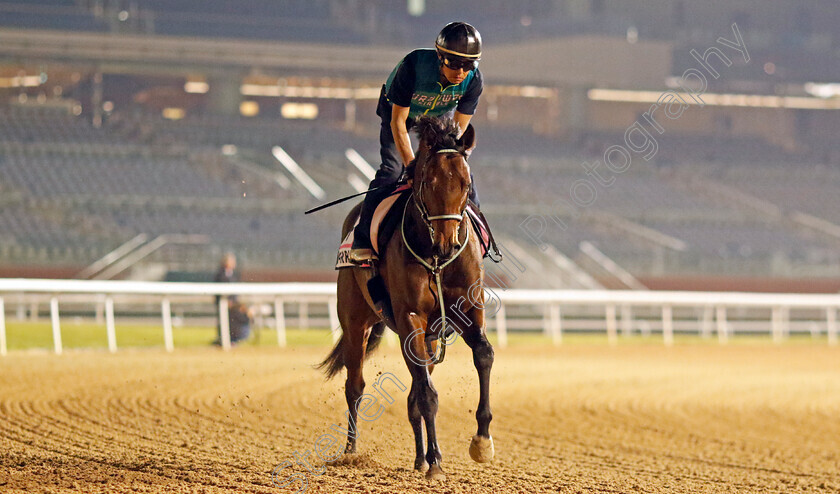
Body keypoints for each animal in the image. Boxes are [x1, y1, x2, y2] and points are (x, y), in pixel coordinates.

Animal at [320, 115, 492, 478]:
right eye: (427, 181)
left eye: (466, 184)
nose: (447, 244)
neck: (435, 258)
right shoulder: (411, 318)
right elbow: (427, 395)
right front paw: (437, 461)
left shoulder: (468, 310)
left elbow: (484, 355)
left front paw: (482, 441)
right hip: (356, 321)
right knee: (355, 387)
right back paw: (350, 452)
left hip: (429, 337)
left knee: (413, 393)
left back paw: (418, 457)